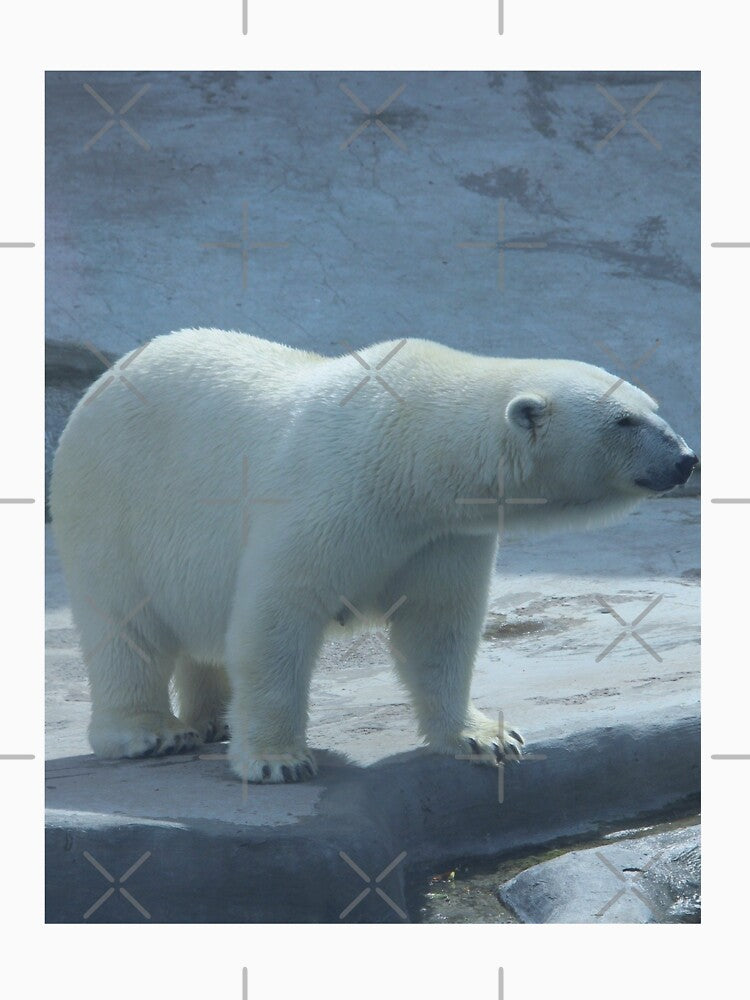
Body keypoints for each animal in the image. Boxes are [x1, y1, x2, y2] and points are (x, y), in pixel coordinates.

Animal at [50, 330, 697, 783]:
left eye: (651, 405)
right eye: (624, 420)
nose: (686, 459)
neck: (411, 450)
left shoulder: (443, 533)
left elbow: (438, 625)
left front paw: (486, 738)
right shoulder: (330, 494)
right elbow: (277, 615)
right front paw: (278, 760)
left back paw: (213, 717)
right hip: (112, 502)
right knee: (125, 623)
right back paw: (150, 732)